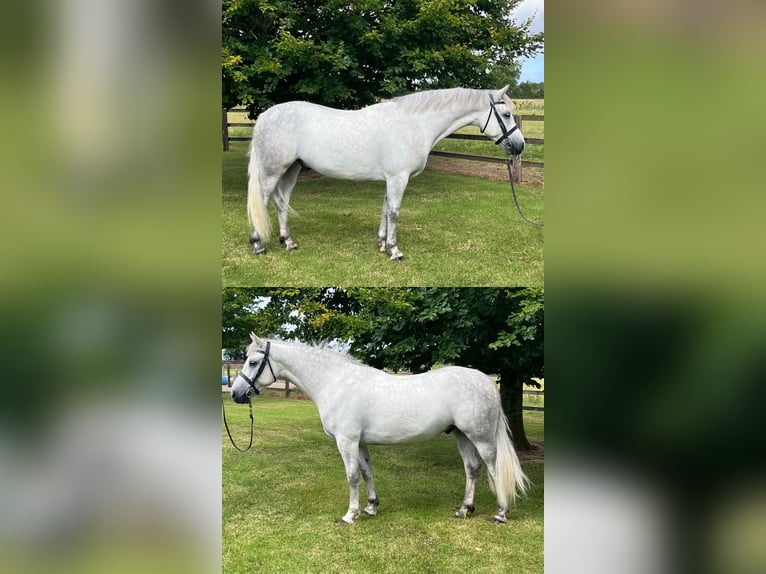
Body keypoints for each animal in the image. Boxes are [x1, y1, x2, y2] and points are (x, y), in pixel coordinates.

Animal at [228, 336, 528, 528]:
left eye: (252, 363)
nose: (235, 394)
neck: (336, 382)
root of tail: (485, 380)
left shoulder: (346, 441)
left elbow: (351, 476)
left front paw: (350, 515)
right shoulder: (359, 442)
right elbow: (366, 472)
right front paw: (371, 507)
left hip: (481, 438)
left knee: (493, 468)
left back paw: (500, 513)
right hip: (461, 435)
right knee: (472, 469)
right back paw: (464, 510)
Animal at [249, 86, 524, 260]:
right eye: (507, 114)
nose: (520, 145)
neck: (414, 124)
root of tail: (265, 116)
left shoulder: (390, 179)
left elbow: (384, 208)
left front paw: (381, 244)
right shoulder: (398, 177)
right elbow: (394, 211)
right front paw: (394, 250)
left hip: (291, 169)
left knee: (282, 202)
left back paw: (288, 242)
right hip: (273, 171)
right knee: (262, 201)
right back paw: (257, 245)